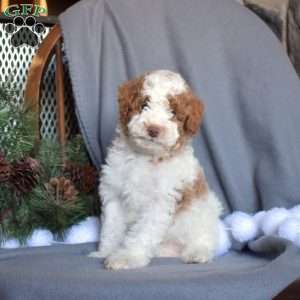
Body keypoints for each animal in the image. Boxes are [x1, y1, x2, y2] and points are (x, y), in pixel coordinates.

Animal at [91, 69, 223, 270]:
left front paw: (127, 257)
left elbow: (142, 233)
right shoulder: (114, 194)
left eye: (173, 112)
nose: (153, 129)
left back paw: (197, 253)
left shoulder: (160, 201)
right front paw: (106, 251)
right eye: (144, 104)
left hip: (205, 213)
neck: (146, 157)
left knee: (204, 238)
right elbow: (112, 228)